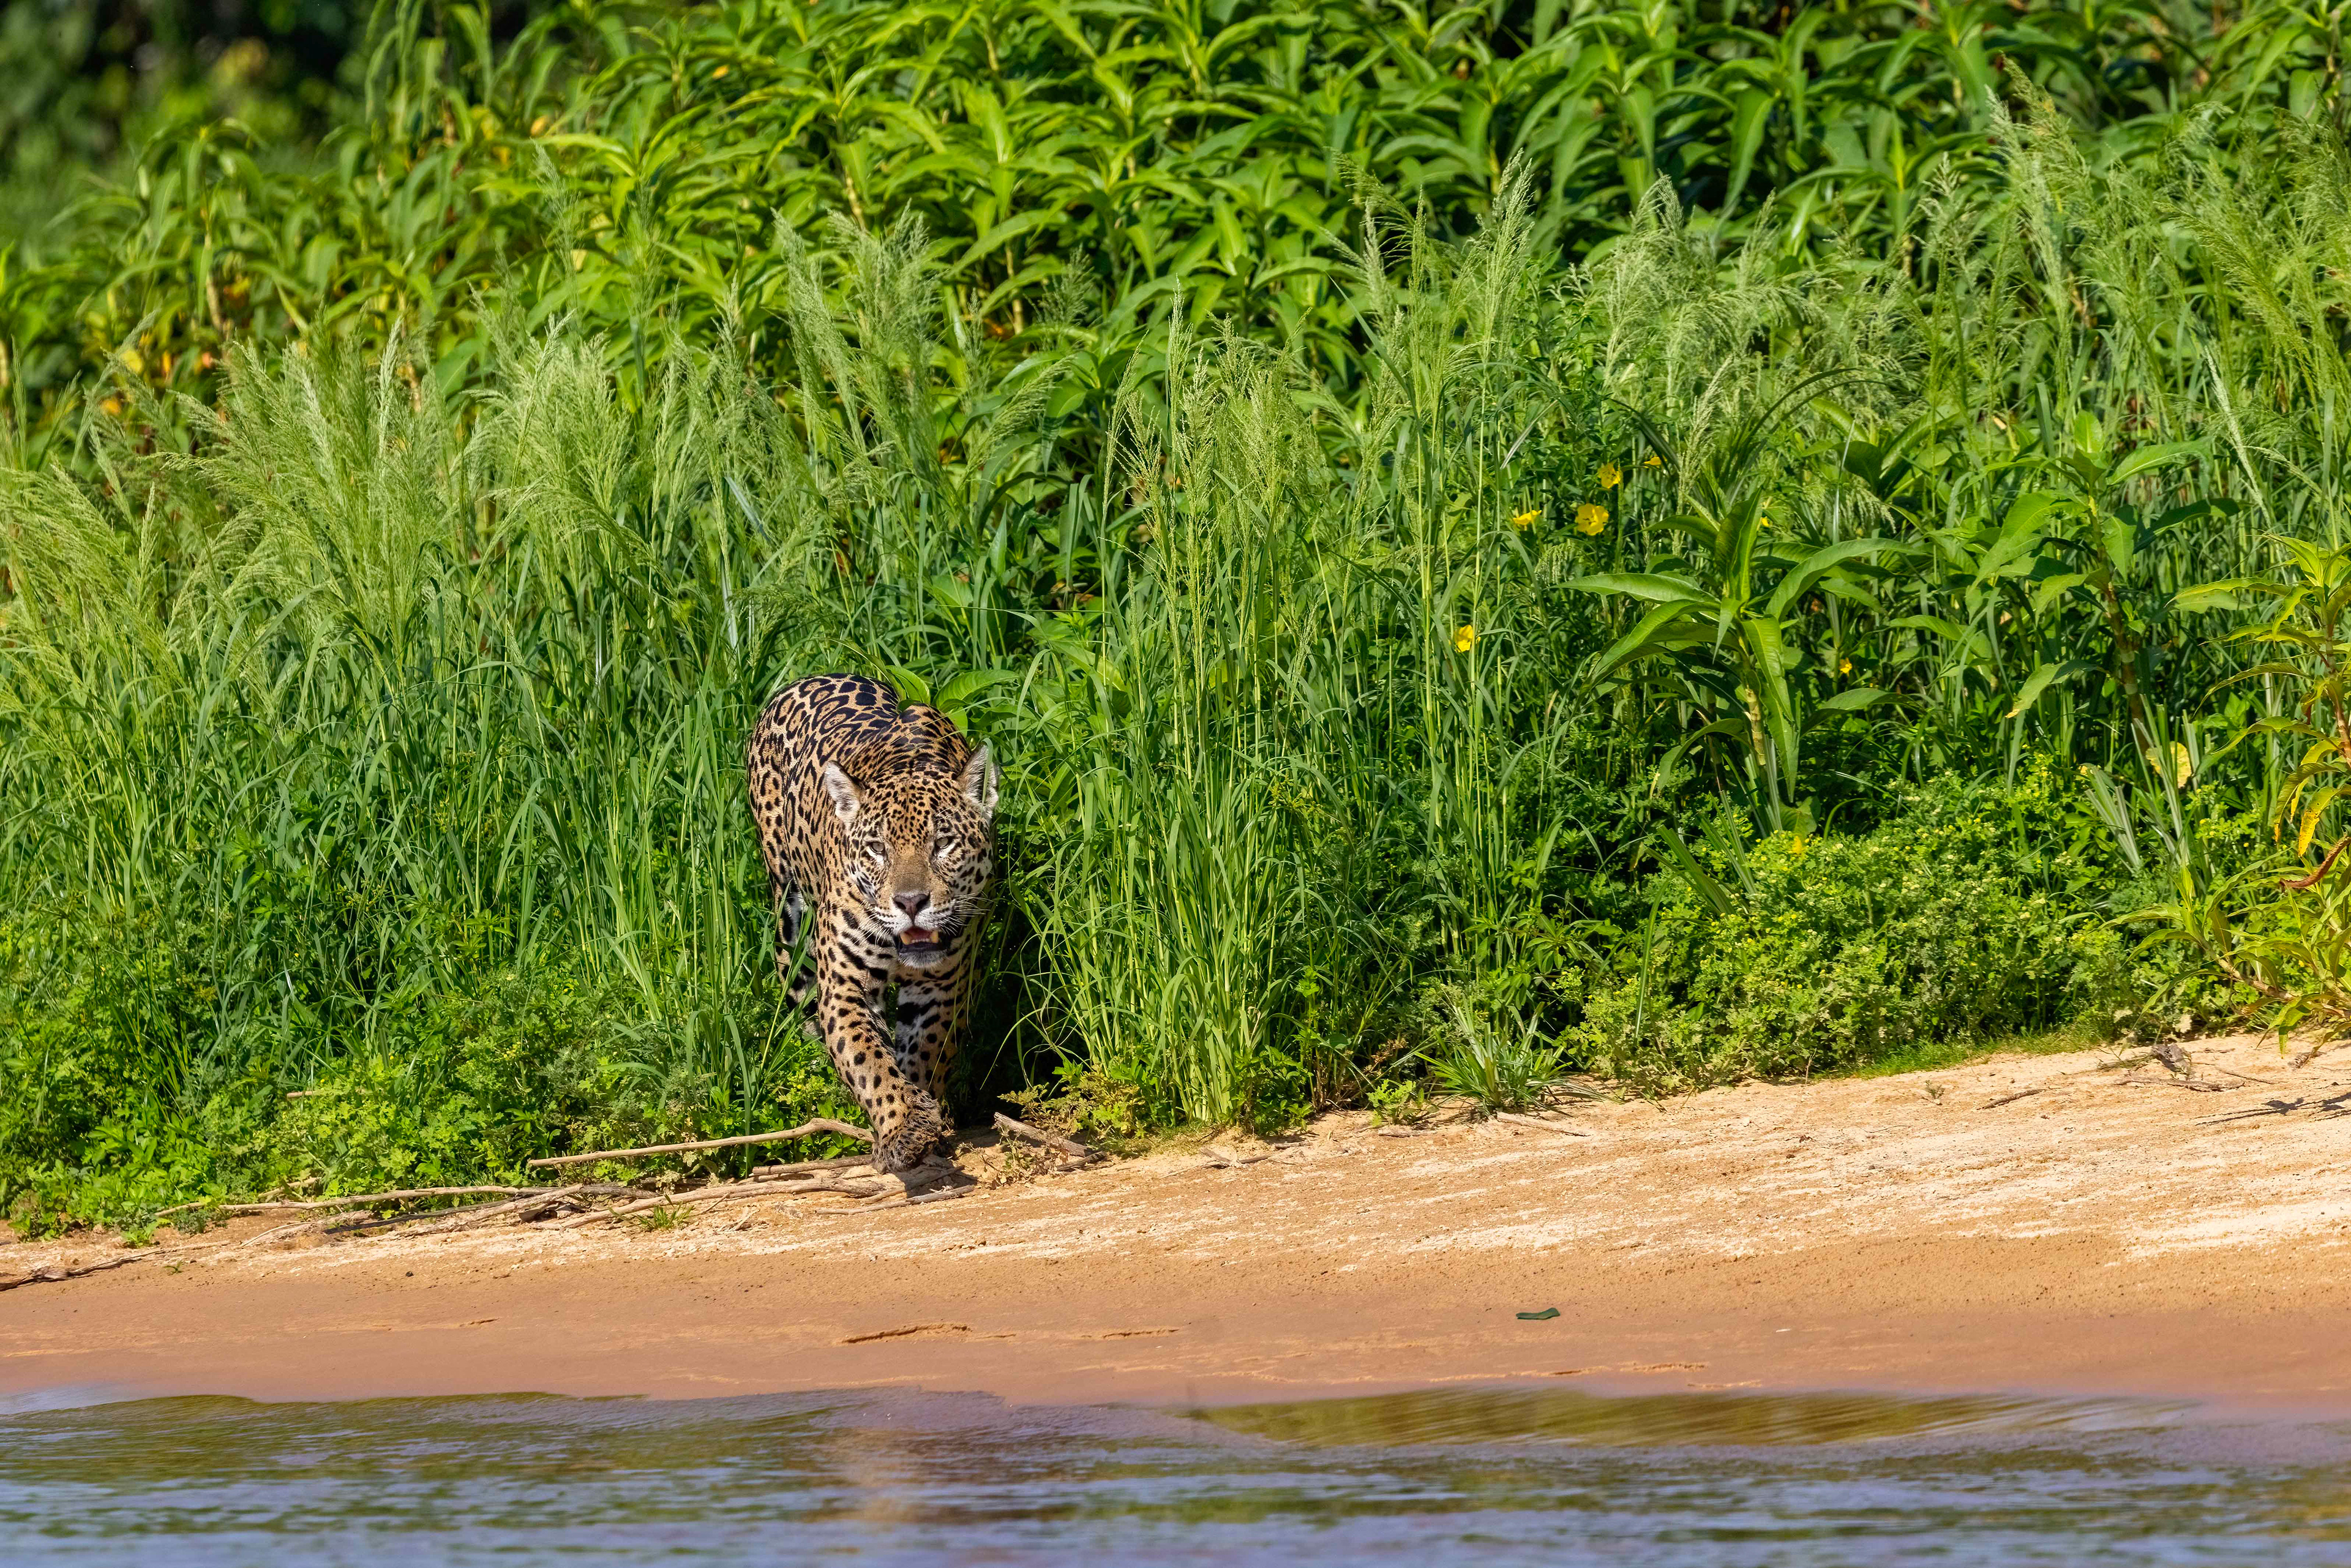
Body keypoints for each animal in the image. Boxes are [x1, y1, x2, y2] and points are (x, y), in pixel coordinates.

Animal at [744, 673, 999, 1173]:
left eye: (943, 843)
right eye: (877, 849)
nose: (911, 902)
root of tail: (803, 679)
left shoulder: (941, 985)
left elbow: (922, 1053)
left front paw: (925, 1116)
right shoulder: (846, 987)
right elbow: (869, 1061)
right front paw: (904, 1124)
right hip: (789, 922)